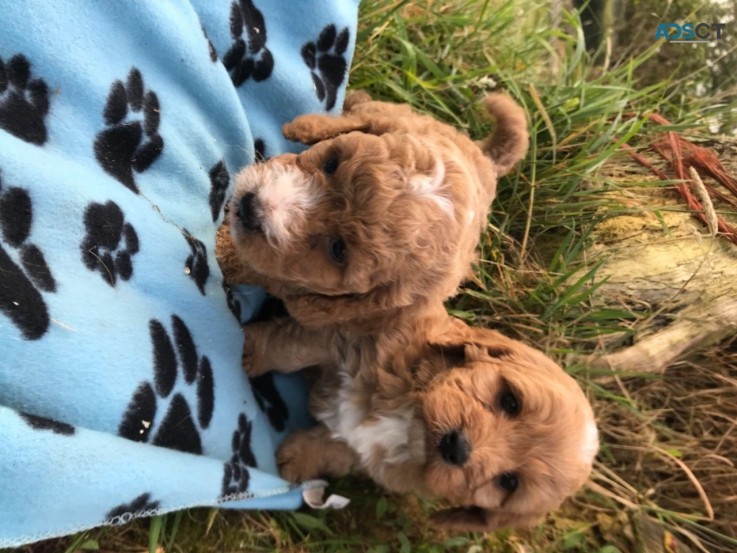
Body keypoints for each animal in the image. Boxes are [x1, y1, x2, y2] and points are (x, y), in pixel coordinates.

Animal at [218, 90, 528, 332]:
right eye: (331, 163)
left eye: (338, 249)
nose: (250, 205)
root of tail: (487, 161)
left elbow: (261, 271)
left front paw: (223, 254)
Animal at [247, 308, 600, 532]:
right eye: (511, 401)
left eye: (509, 482)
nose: (457, 448)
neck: (411, 422)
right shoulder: (349, 341)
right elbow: (291, 348)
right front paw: (249, 351)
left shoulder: (365, 457)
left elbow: (335, 448)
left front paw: (298, 462)